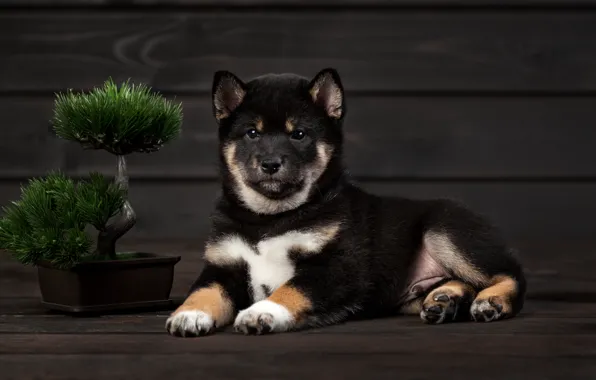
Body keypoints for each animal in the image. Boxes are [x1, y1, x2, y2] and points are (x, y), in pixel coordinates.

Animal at [164, 68, 528, 336]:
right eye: (252, 133)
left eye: (298, 134)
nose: (270, 164)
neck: (270, 218)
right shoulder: (222, 265)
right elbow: (203, 291)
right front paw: (189, 314)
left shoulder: (337, 266)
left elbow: (292, 288)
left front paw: (262, 312)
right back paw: (443, 300)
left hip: (444, 229)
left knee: (510, 274)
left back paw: (490, 303)